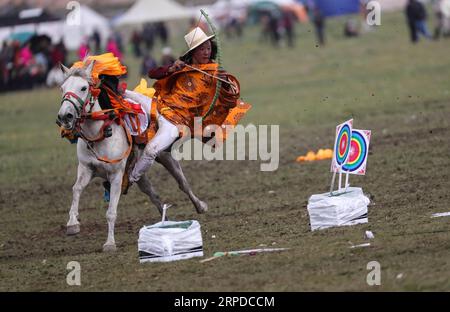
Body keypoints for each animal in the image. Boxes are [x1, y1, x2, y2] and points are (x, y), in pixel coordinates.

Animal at [56, 62, 209, 252]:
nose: (65, 116)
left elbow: (111, 212)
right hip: (137, 172)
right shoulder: (86, 169)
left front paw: (109, 243)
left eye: (83, 88)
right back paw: (164, 221)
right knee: (153, 194)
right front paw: (72, 224)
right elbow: (76, 189)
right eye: (62, 88)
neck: (99, 135)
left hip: (163, 157)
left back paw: (201, 206)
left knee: (183, 184)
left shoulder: (116, 176)